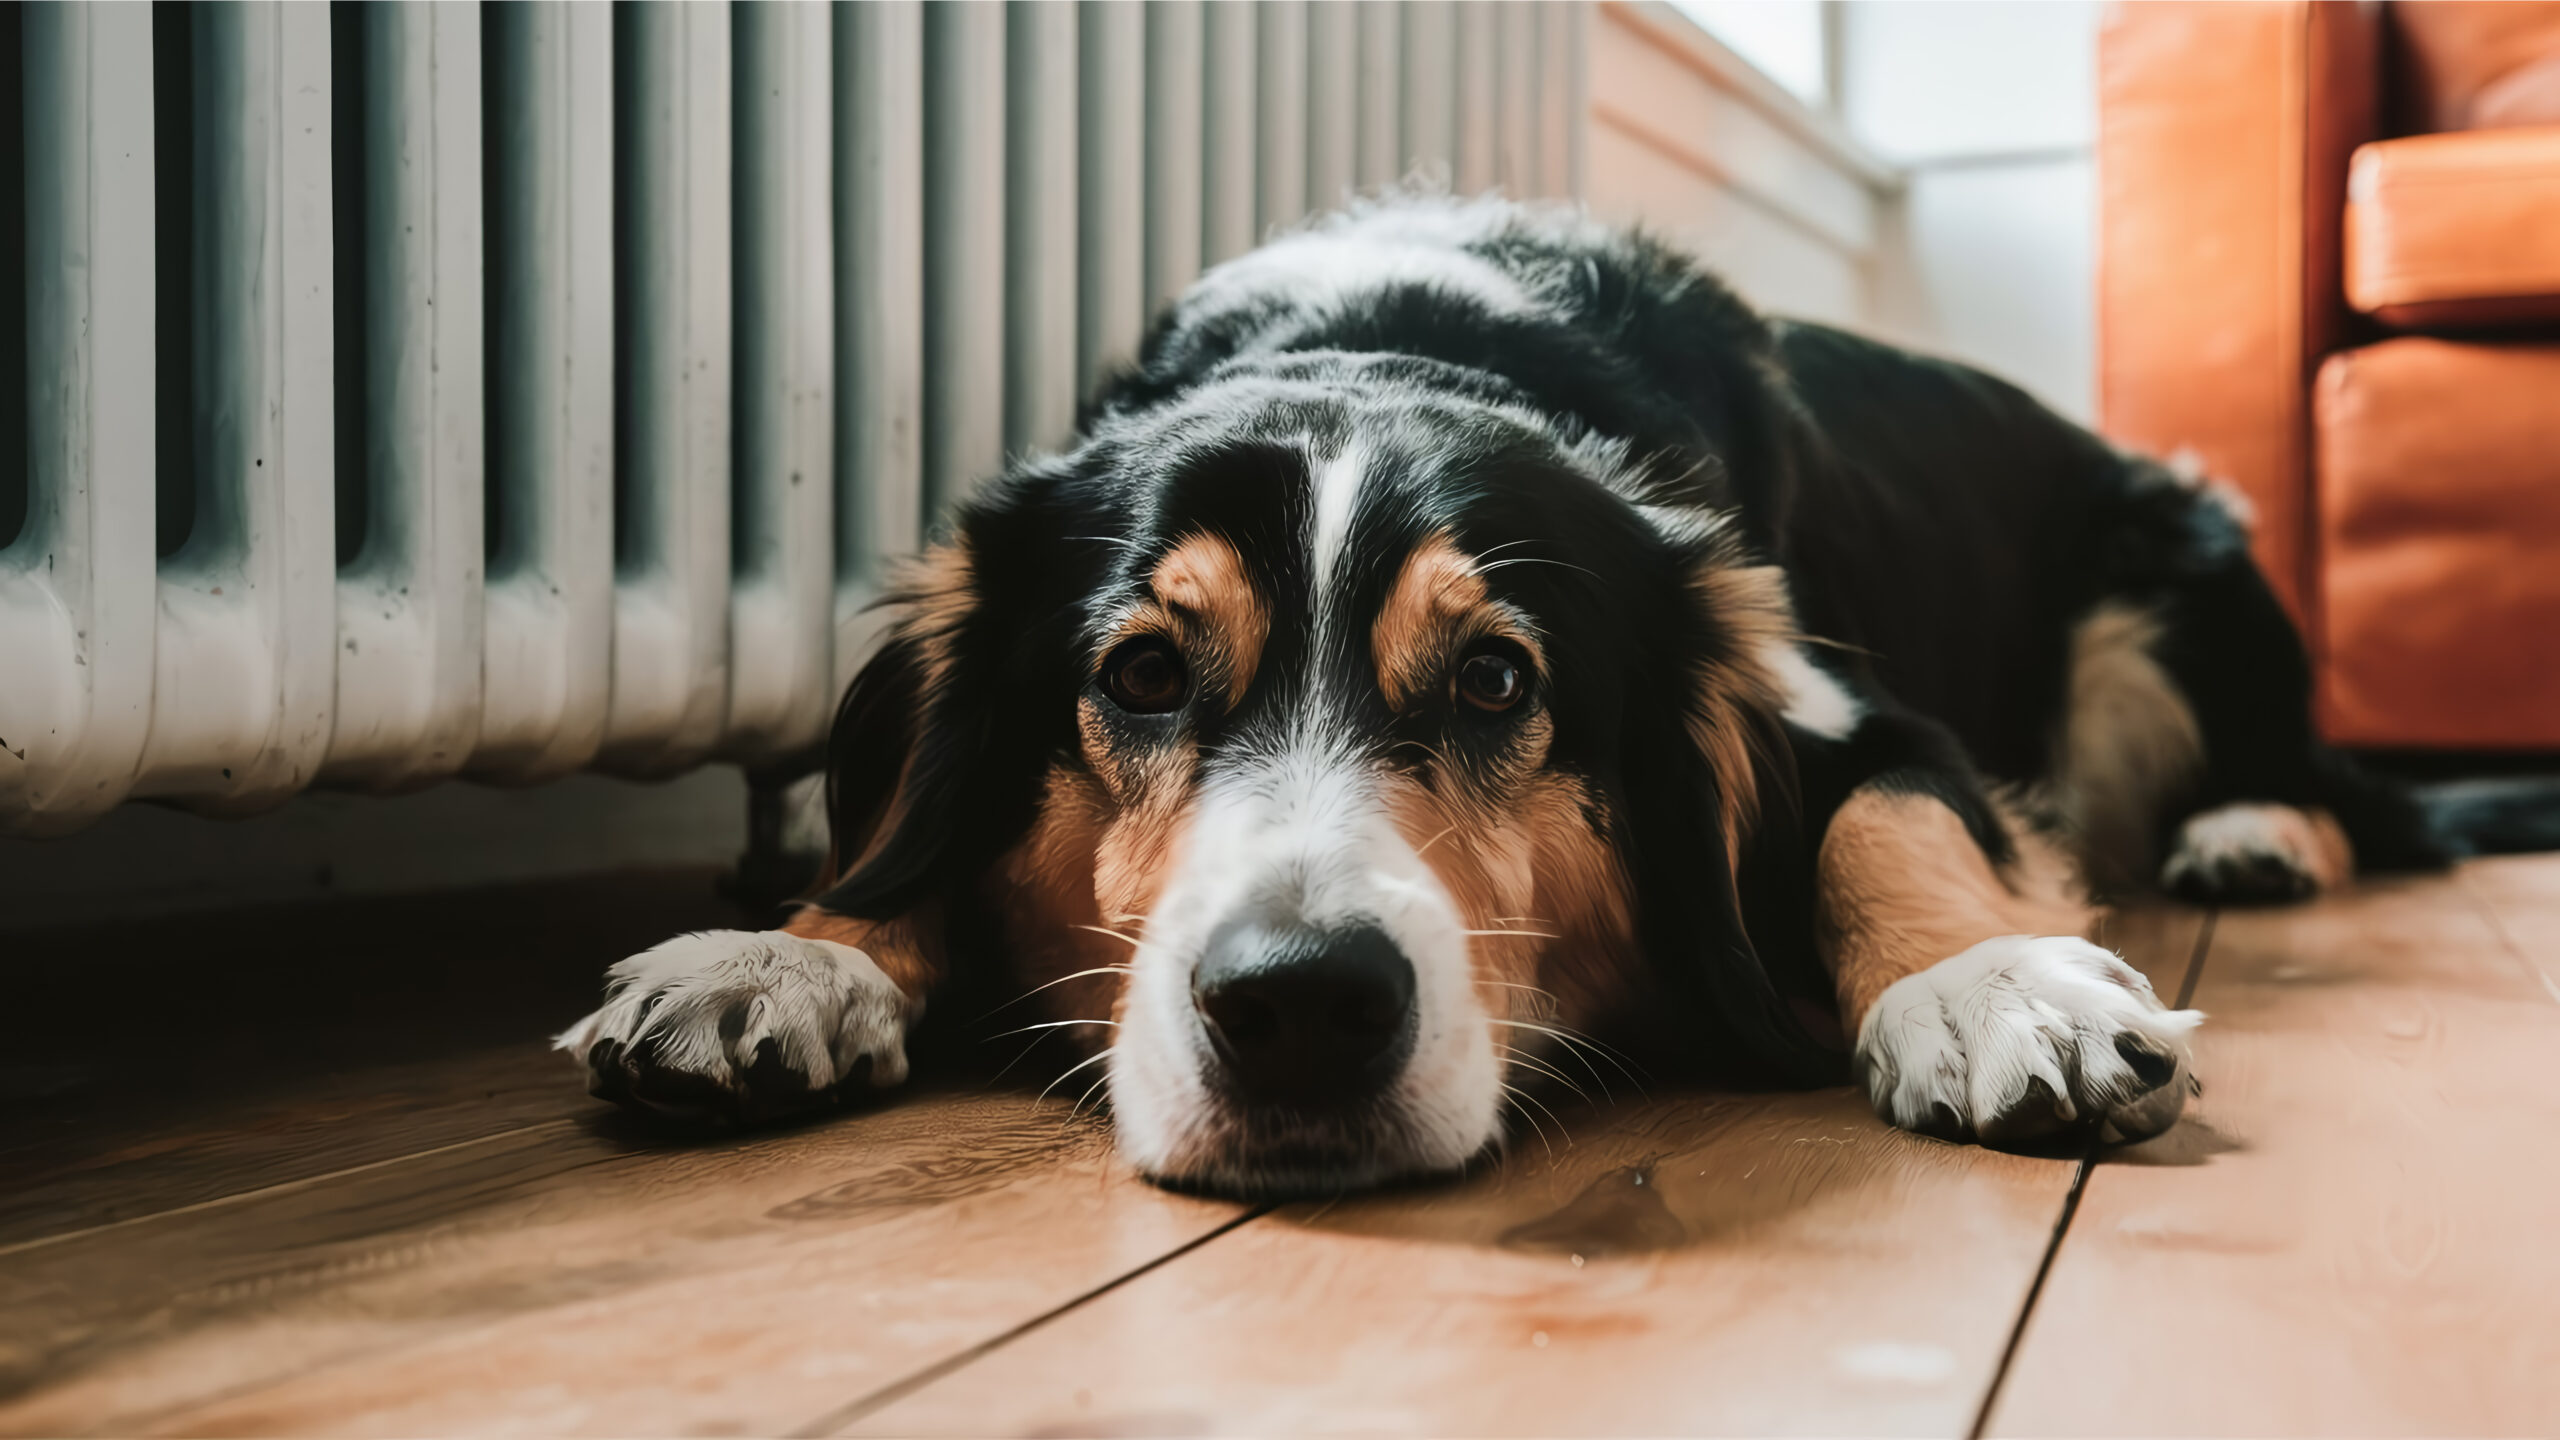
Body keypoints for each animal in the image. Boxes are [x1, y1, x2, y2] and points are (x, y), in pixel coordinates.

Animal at [555, 193, 2457, 1188]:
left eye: (1490, 681)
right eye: (1146, 673)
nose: (1299, 1006)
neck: (1390, 335)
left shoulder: (1876, 720)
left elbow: (1885, 831)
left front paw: (1991, 986)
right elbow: (894, 848)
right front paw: (788, 951)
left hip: (2180, 576)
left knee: (2344, 793)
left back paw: (2249, 840)